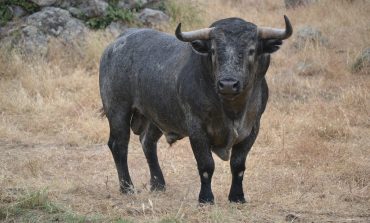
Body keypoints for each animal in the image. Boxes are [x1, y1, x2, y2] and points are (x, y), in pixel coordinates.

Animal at [99, 15, 292, 204]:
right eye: (213, 50)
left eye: (251, 50)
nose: (228, 84)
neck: (231, 109)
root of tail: (116, 43)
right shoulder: (197, 129)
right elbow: (206, 165)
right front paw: (206, 198)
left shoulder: (252, 128)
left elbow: (238, 165)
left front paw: (237, 197)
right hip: (118, 110)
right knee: (119, 145)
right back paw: (127, 187)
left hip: (156, 116)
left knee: (147, 142)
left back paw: (158, 184)